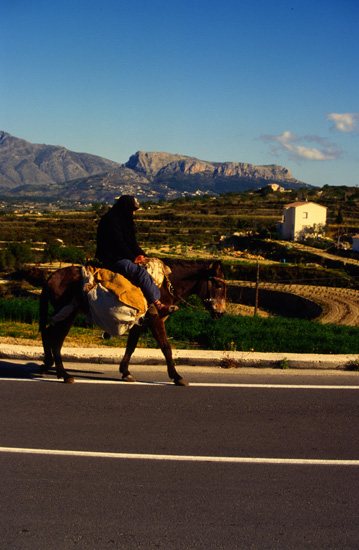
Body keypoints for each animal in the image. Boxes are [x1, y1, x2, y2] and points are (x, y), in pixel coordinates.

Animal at [38, 260, 225, 386]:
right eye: (218, 284)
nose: (221, 313)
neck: (165, 286)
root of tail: (51, 276)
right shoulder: (155, 320)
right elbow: (166, 347)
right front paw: (176, 376)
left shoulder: (140, 322)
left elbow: (131, 346)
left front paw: (125, 372)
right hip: (67, 314)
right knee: (56, 340)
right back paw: (63, 374)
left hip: (64, 314)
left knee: (47, 333)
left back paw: (47, 365)